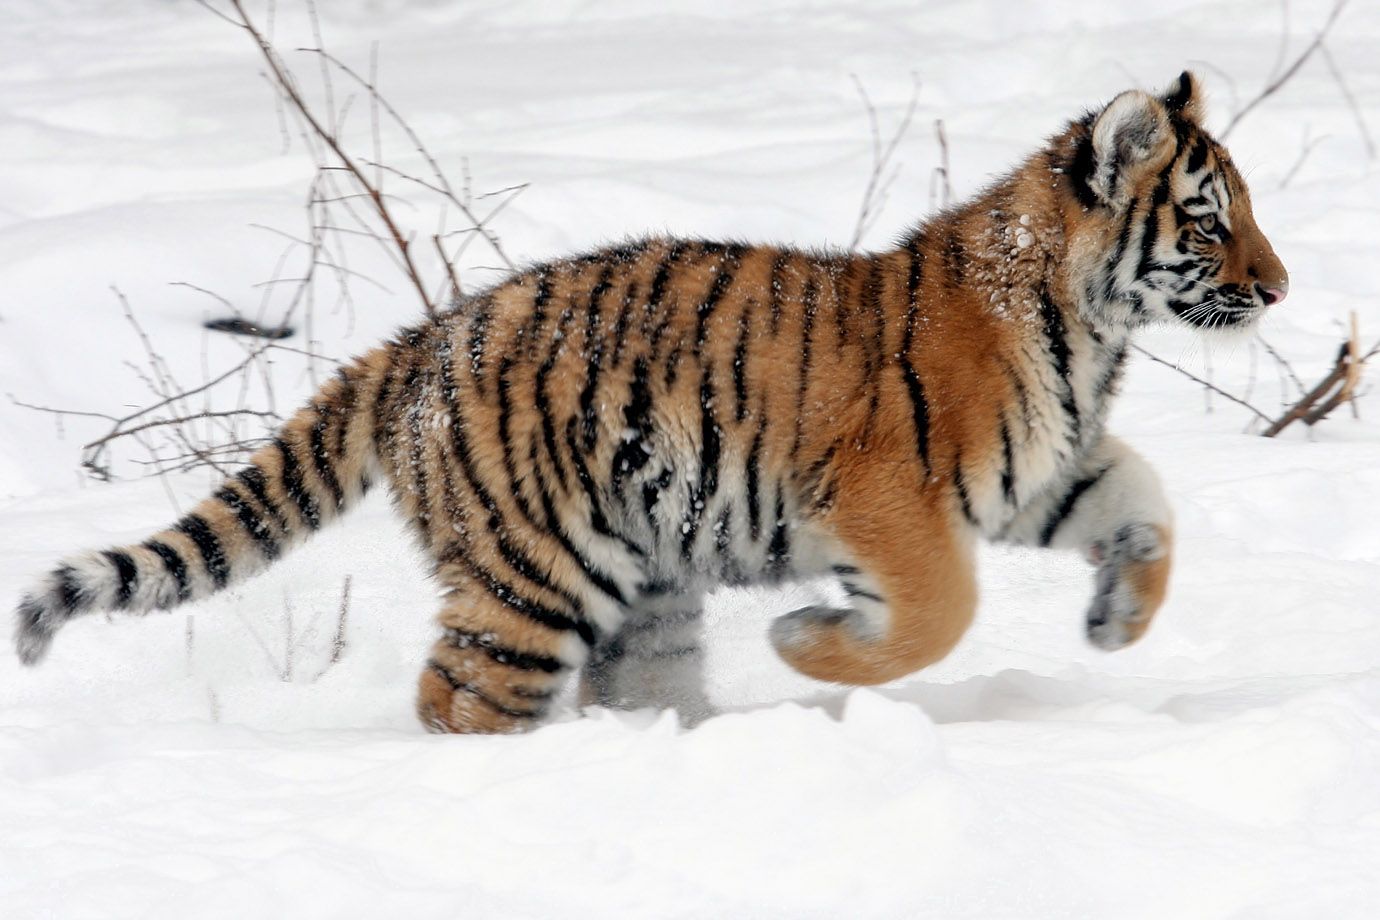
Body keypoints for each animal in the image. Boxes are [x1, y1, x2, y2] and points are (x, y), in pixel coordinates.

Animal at [12, 72, 1287, 734]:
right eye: (1209, 219)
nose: (1280, 287)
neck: (1090, 330)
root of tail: (418, 340)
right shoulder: (889, 497)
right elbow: (940, 612)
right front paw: (806, 642)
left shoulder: (1043, 469)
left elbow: (1146, 502)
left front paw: (1118, 620)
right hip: (535, 575)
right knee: (458, 696)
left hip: (650, 581)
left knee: (627, 682)